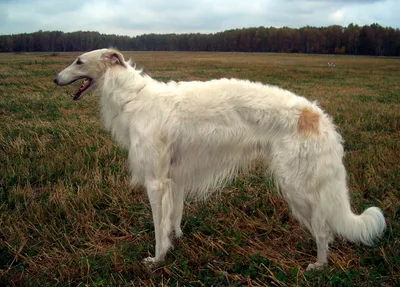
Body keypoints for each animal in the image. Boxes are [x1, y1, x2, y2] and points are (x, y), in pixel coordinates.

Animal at [54, 48, 386, 272]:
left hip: (297, 186)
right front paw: (176, 240)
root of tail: (318, 117)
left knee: (324, 229)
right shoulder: (175, 177)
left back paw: (318, 265)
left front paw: (157, 259)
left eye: (79, 61)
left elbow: (159, 227)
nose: (55, 78)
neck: (133, 97)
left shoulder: (155, 181)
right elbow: (174, 218)